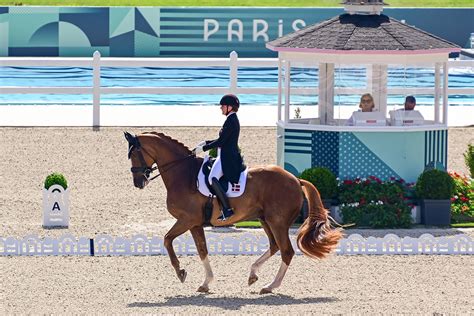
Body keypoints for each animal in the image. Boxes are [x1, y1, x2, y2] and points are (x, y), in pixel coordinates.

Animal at [124, 131, 342, 294]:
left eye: (134, 154)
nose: (138, 182)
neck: (183, 173)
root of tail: (296, 180)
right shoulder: (194, 224)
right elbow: (202, 250)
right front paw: (206, 283)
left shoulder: (186, 220)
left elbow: (167, 239)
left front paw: (180, 272)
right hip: (265, 220)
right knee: (274, 246)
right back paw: (253, 274)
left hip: (277, 222)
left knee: (286, 251)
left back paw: (270, 286)